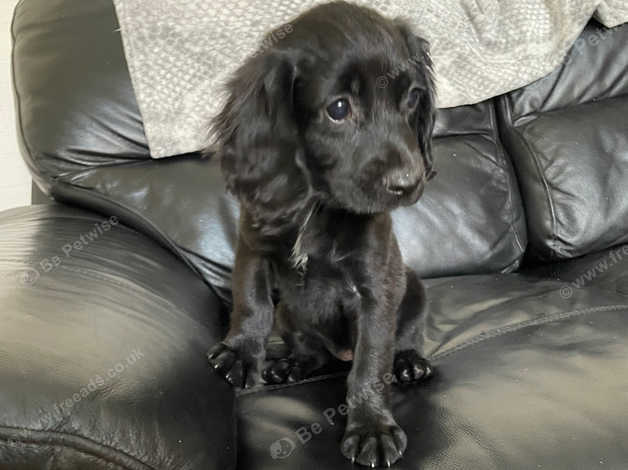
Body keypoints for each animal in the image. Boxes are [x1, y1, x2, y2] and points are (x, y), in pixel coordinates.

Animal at [206, 1, 436, 466]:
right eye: (339, 109)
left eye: (412, 98)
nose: (409, 183)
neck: (316, 205)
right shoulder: (252, 248)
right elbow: (251, 303)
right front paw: (241, 352)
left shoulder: (376, 287)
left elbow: (371, 361)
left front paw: (371, 427)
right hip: (290, 315)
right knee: (310, 349)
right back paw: (292, 363)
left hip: (416, 290)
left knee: (402, 340)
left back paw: (409, 361)